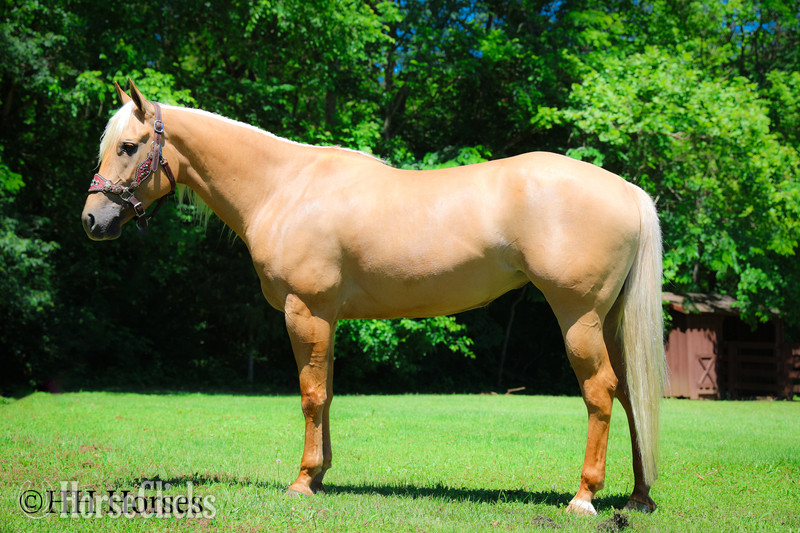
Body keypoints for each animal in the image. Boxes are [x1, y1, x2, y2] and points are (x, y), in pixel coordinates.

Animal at [82, 80, 667, 516]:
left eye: (128, 147)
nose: (92, 220)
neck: (284, 188)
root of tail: (626, 189)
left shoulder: (306, 311)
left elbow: (310, 394)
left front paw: (301, 483)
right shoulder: (328, 318)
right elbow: (327, 393)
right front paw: (320, 475)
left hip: (578, 316)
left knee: (600, 393)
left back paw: (584, 496)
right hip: (608, 320)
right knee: (630, 393)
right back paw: (638, 496)